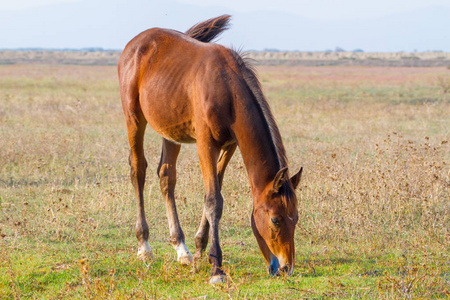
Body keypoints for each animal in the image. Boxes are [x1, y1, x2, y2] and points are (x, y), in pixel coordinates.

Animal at [118, 15, 302, 284]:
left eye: (296, 218)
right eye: (275, 220)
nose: (286, 267)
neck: (227, 89)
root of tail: (135, 44)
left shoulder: (229, 146)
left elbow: (214, 192)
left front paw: (198, 251)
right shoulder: (205, 145)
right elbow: (214, 200)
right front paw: (216, 267)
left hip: (170, 131)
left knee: (166, 177)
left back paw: (181, 250)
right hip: (134, 118)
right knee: (138, 170)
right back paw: (145, 247)